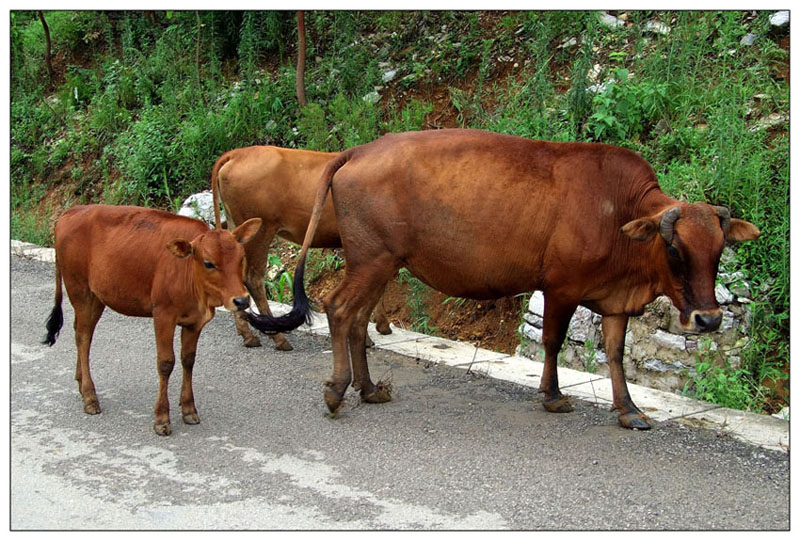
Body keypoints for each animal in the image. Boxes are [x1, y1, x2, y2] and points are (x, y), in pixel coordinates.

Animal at [43, 202, 262, 434]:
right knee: (83, 338)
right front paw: (162, 418)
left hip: (96, 297)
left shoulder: (195, 322)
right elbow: (166, 363)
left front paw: (188, 409)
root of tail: (71, 212)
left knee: (82, 333)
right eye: (209, 263)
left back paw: (80, 382)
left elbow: (188, 360)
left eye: (241, 258)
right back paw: (89, 396)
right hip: (80, 291)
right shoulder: (163, 315)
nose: (241, 300)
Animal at [209, 146, 390, 352]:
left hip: (239, 229)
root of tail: (237, 153)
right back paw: (278, 337)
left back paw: (248, 335)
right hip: (261, 230)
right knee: (253, 279)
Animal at [247, 130, 760, 430]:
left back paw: (370, 390)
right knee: (338, 309)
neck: (618, 212)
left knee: (357, 320)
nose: (710, 319)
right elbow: (552, 342)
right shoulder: (561, 287)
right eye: (675, 249)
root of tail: (359, 149)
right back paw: (338, 391)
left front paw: (630, 410)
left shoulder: (615, 300)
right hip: (372, 259)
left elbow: (614, 355)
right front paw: (553, 397)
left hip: (381, 262)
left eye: (719, 250)